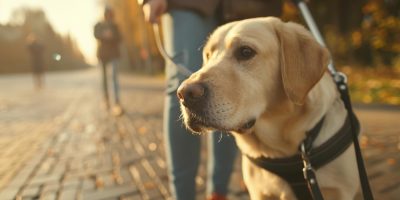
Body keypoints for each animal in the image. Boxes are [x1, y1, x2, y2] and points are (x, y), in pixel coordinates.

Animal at [177, 17, 358, 200]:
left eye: (246, 52)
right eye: (208, 55)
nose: (184, 93)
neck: (281, 148)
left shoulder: (339, 191)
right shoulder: (260, 193)